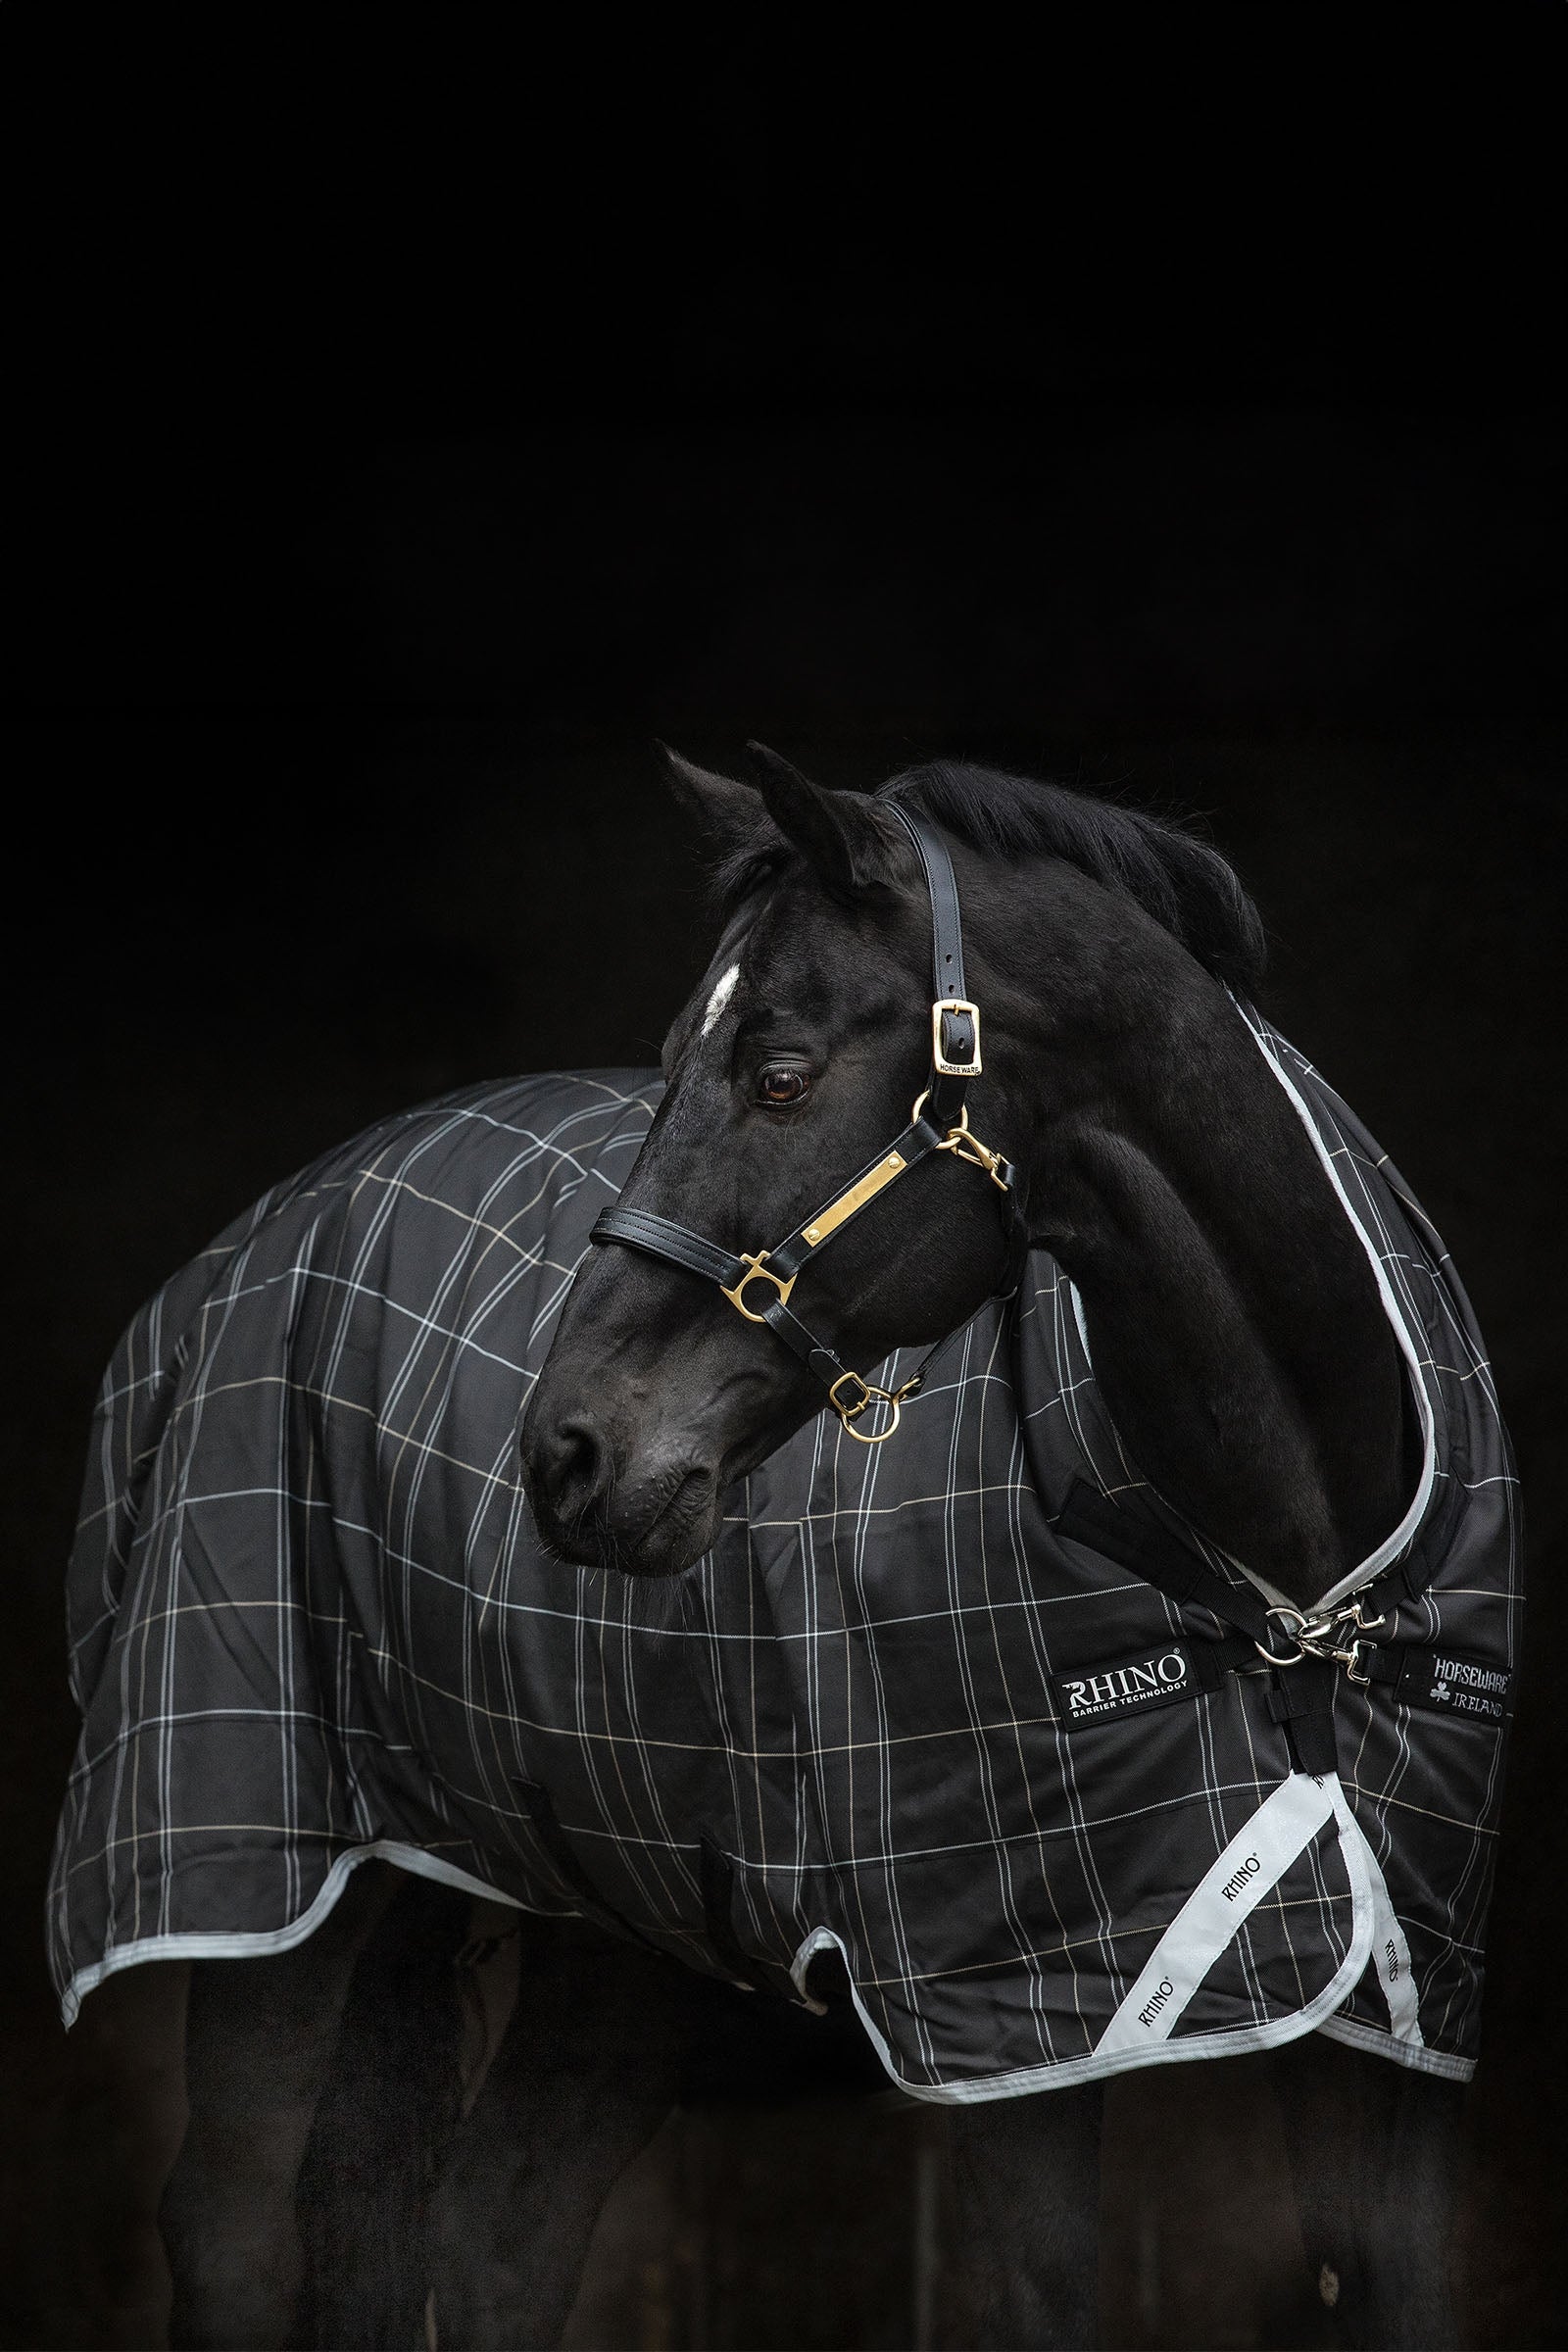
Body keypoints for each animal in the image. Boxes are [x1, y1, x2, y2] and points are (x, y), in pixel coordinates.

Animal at [57, 748, 1515, 2349]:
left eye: (777, 1075)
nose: (567, 1456)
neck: (1285, 1599)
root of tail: (265, 1231)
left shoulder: (1402, 2023)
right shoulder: (1012, 2025)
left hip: (621, 1914)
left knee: (498, 2232)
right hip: (270, 1868)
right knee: (237, 2231)